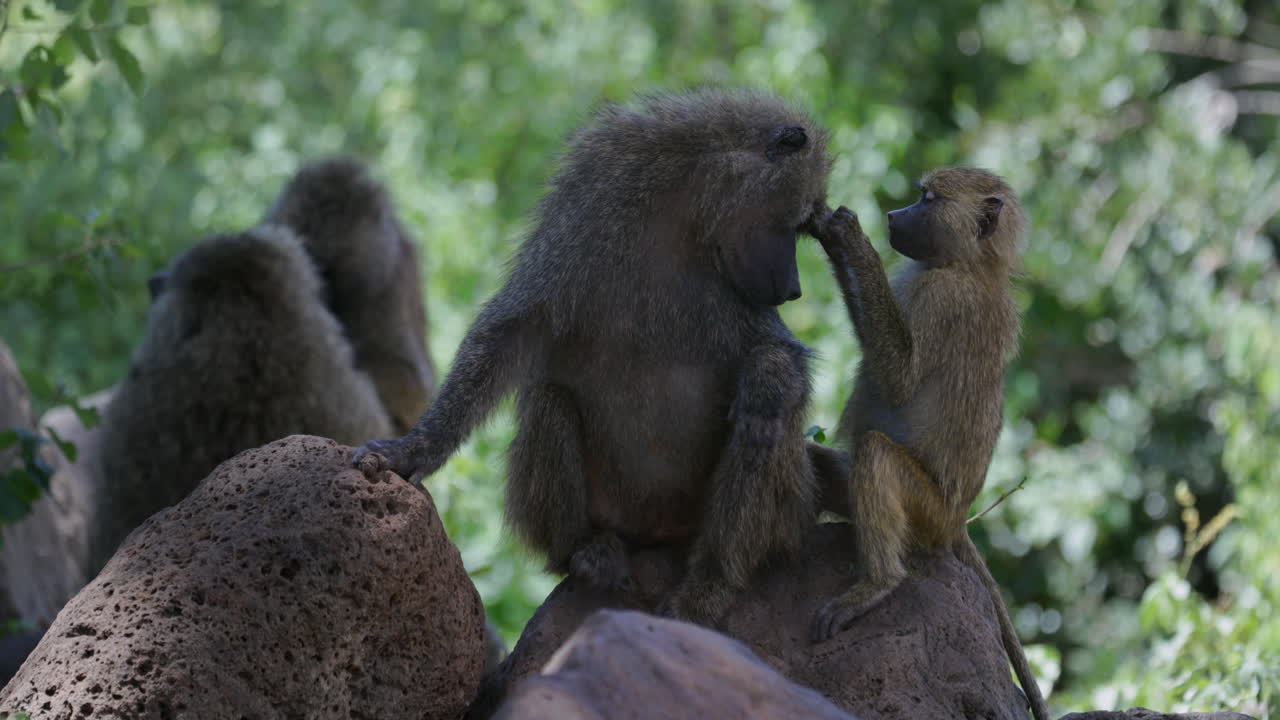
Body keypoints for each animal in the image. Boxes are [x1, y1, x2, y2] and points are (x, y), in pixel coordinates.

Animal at [354, 89, 832, 625]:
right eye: (797, 222)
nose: (793, 290)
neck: (683, 217)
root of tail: (658, 534)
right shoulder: (587, 215)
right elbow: (510, 330)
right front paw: (412, 450)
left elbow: (780, 355)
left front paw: (766, 383)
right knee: (549, 400)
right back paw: (586, 550)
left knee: (767, 429)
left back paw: (706, 588)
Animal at [805, 168, 1049, 720]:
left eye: (926, 199)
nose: (893, 215)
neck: (970, 266)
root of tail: (958, 520)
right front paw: (830, 233)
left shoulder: (943, 300)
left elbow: (898, 378)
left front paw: (850, 238)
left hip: (927, 512)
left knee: (875, 456)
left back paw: (877, 586)